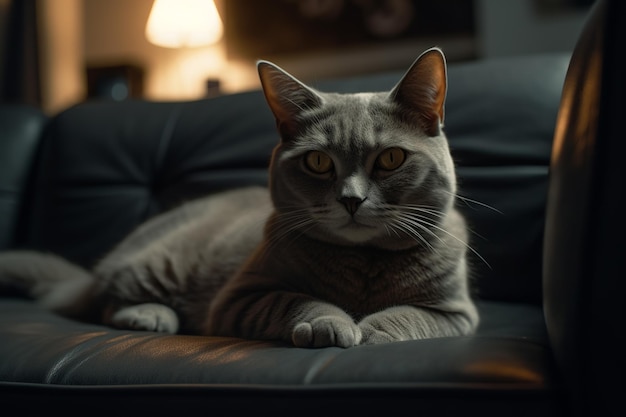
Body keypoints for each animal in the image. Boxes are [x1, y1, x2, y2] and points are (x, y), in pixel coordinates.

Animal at [0, 47, 478, 348]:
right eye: (318, 162)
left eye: (391, 158)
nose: (351, 199)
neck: (364, 265)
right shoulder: (239, 298)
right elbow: (296, 300)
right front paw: (332, 323)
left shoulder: (457, 313)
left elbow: (412, 315)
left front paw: (373, 329)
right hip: (159, 263)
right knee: (103, 299)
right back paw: (150, 315)